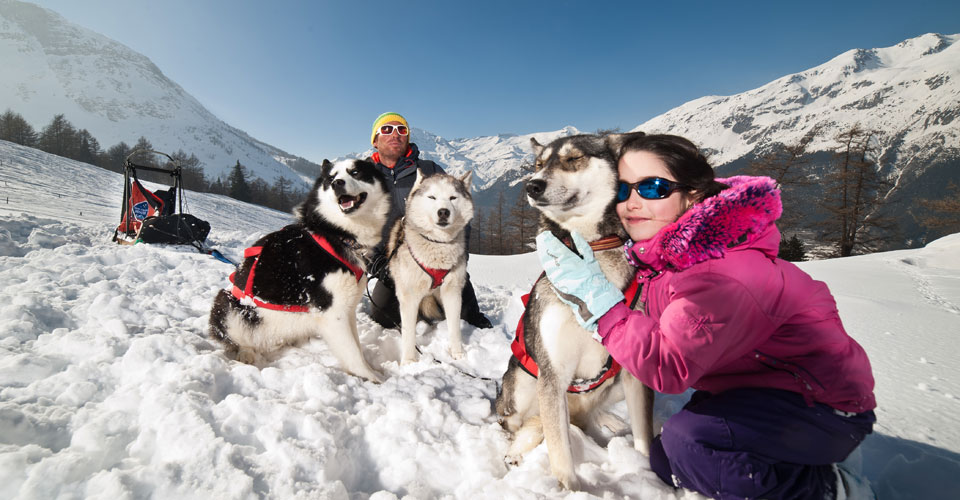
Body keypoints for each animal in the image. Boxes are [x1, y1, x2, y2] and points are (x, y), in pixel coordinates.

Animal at [209, 160, 390, 382]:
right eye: (330, 178)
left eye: (355, 172)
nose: (337, 183)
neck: (335, 234)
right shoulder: (332, 312)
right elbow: (352, 352)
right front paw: (372, 377)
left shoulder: (346, 309)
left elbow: (355, 346)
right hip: (227, 304)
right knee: (241, 338)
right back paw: (246, 353)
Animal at [386, 170, 476, 366]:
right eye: (432, 197)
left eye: (452, 197)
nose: (443, 211)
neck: (438, 245)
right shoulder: (409, 296)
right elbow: (408, 333)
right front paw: (409, 362)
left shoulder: (452, 292)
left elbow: (454, 327)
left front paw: (458, 354)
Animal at [492, 133, 656, 488]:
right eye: (539, 164)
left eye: (573, 158)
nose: (532, 185)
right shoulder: (553, 374)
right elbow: (560, 451)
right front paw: (570, 489)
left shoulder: (635, 374)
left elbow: (644, 438)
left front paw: (651, 474)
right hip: (523, 383)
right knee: (525, 424)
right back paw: (516, 451)